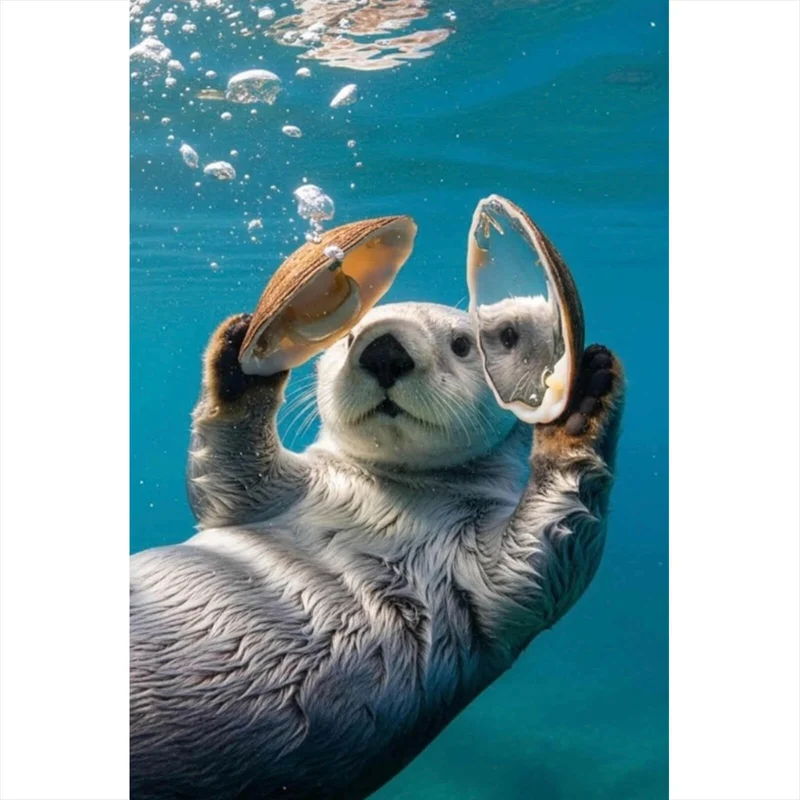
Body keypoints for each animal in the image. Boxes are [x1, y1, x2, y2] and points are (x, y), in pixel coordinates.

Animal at [130, 301, 624, 800]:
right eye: (349, 336)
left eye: (463, 344)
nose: (384, 351)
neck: (390, 495)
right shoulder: (275, 494)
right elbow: (225, 477)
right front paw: (238, 355)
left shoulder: (489, 575)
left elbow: (542, 559)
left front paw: (583, 402)